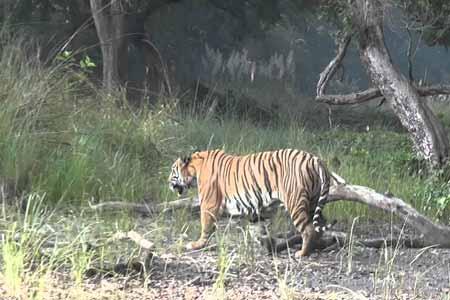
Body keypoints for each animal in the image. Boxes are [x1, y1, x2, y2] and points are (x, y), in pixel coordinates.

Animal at [169, 149, 338, 256]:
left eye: (172, 171)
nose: (168, 182)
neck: (195, 168)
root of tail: (315, 159)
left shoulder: (209, 204)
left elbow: (205, 226)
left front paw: (197, 244)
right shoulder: (255, 208)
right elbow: (256, 228)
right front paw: (262, 245)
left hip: (295, 202)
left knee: (308, 229)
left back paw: (302, 253)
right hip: (313, 202)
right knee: (318, 227)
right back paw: (317, 247)